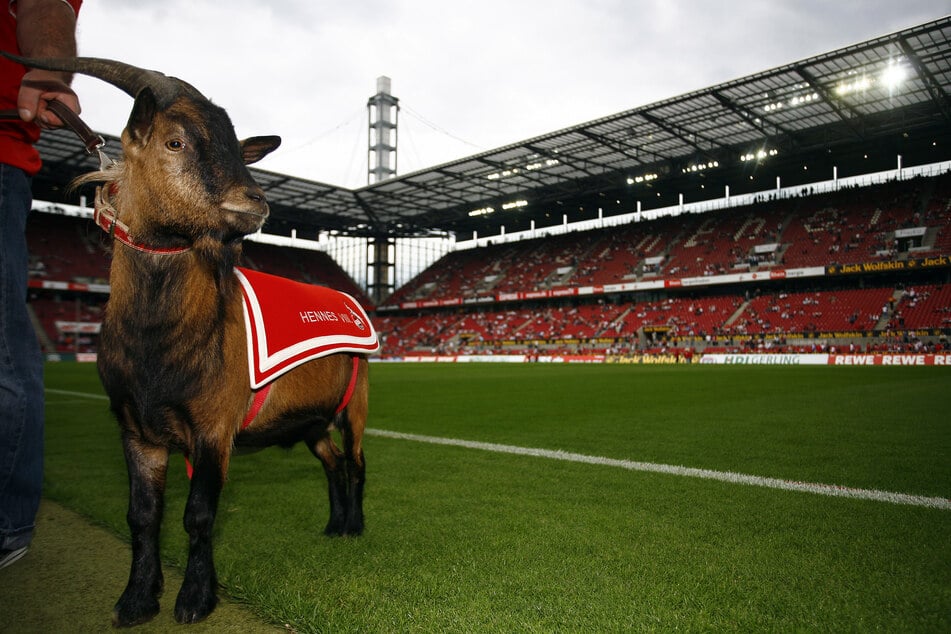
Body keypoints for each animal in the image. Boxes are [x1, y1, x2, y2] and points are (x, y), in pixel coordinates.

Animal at [7, 53, 380, 624]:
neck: (158, 344)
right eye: (176, 141)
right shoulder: (137, 429)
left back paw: (355, 527)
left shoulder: (213, 426)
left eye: (236, 146)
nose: (255, 202)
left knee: (356, 462)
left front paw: (195, 599)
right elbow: (142, 515)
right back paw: (334, 526)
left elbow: (199, 515)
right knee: (333, 463)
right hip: (311, 420)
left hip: (353, 400)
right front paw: (137, 599)